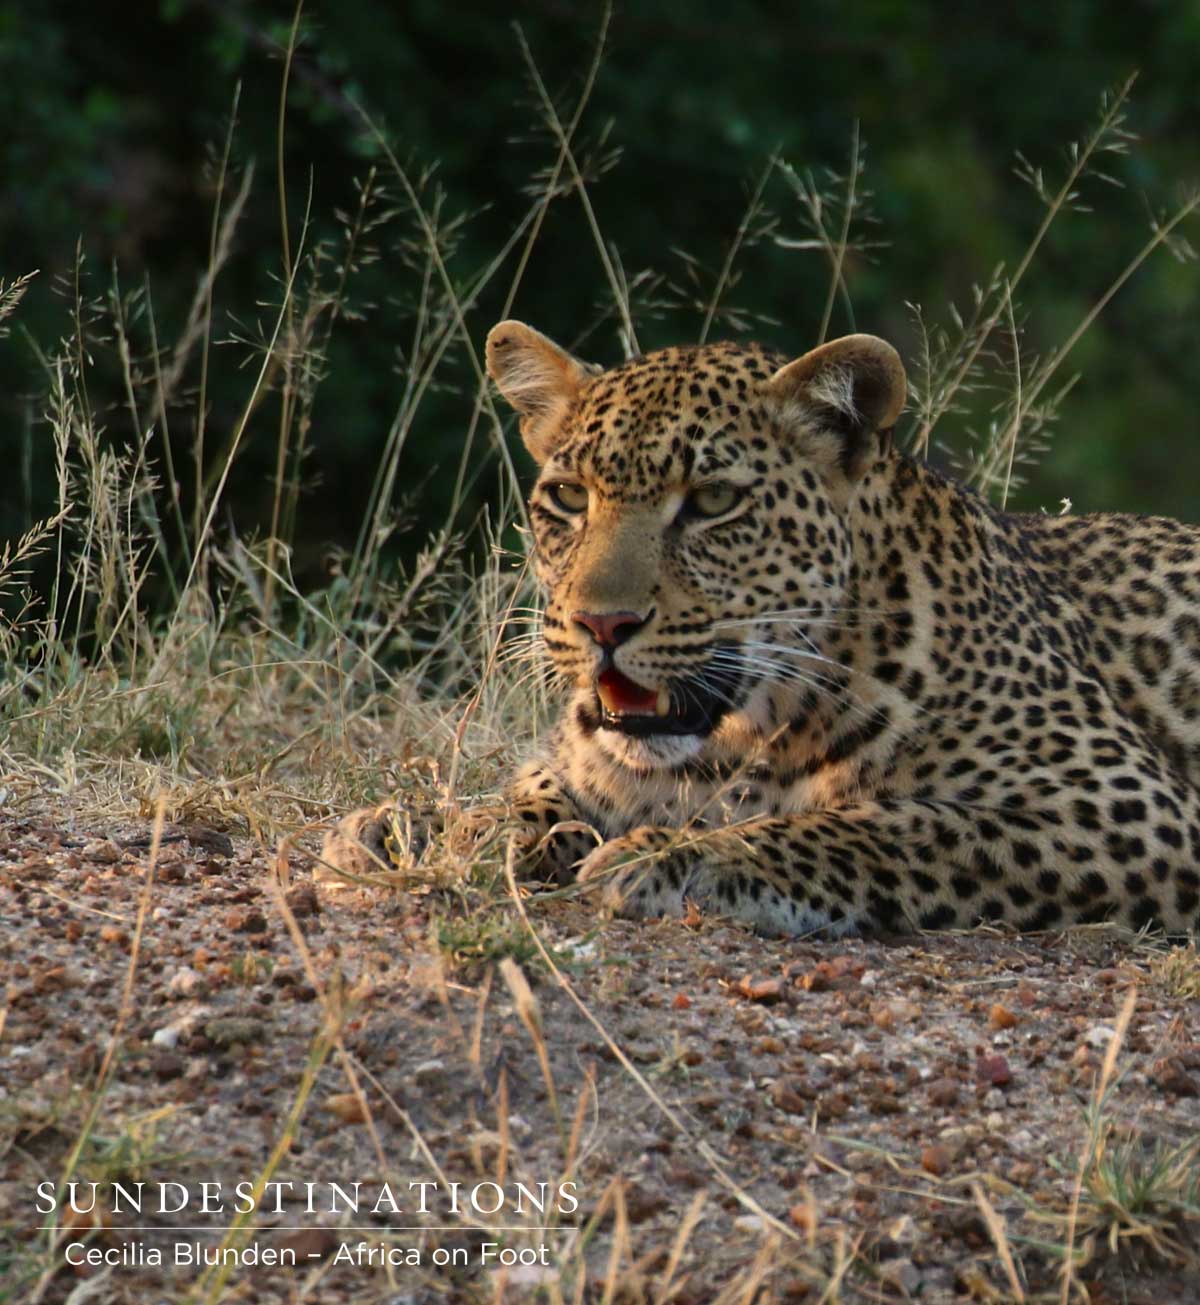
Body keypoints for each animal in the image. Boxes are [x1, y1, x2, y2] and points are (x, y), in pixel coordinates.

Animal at [322, 318, 1200, 938]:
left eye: (713, 502)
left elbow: (880, 825)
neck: (742, 739)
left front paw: (681, 857)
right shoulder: (588, 762)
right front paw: (412, 826)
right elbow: (527, 792)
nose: (601, 622)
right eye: (569, 497)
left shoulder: (1124, 805)